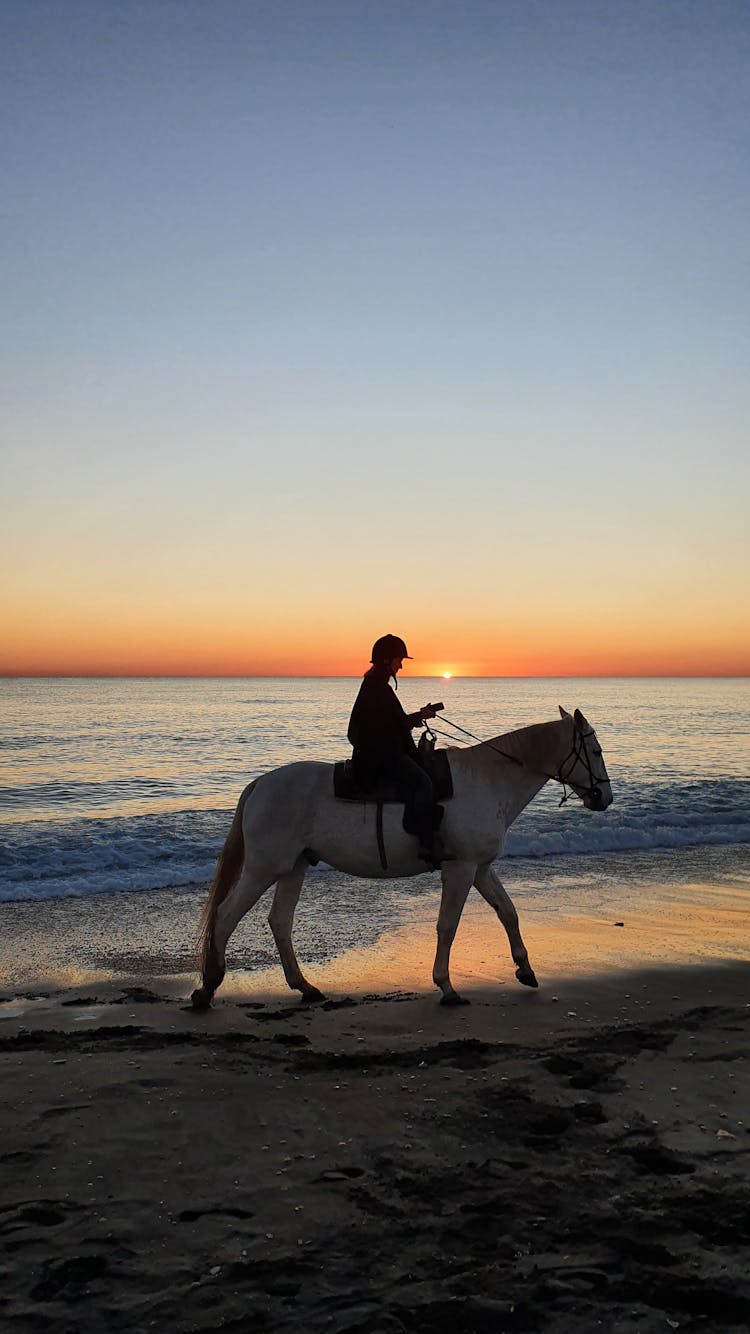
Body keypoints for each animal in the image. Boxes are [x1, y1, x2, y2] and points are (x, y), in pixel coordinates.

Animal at [189, 704, 611, 1003]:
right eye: (594, 750)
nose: (604, 798)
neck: (488, 779)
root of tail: (260, 784)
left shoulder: (479, 868)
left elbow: (508, 912)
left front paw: (525, 970)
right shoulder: (460, 869)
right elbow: (447, 925)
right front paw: (446, 986)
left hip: (294, 867)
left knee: (279, 921)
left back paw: (304, 986)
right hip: (264, 868)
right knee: (225, 915)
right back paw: (208, 986)